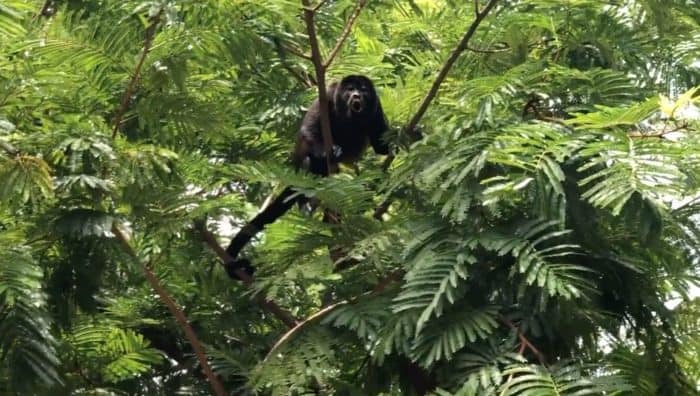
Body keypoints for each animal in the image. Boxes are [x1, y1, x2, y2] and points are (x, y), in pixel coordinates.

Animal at [224, 74, 388, 278]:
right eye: (350, 89)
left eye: (363, 89)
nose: (356, 95)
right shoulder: (327, 95)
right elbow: (308, 130)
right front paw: (328, 151)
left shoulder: (376, 105)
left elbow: (381, 147)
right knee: (309, 161)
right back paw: (305, 202)